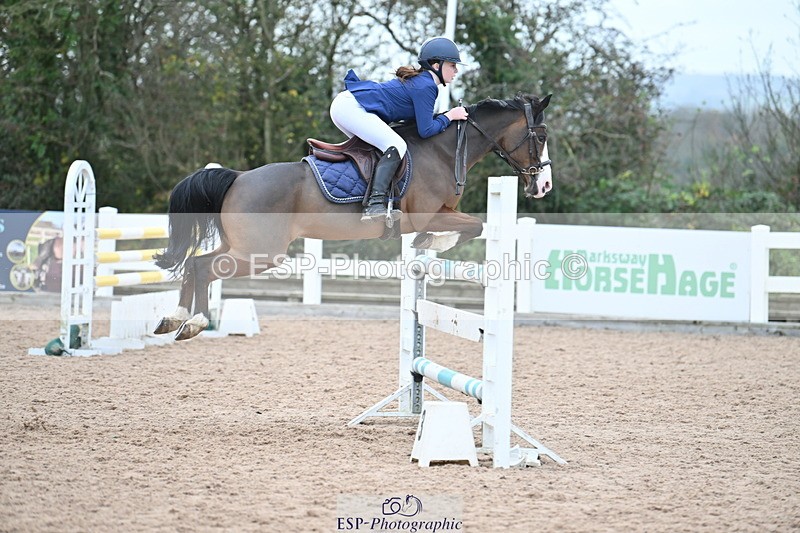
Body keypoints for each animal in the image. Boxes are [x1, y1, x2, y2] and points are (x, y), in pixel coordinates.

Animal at [153, 92, 553, 340]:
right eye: (541, 135)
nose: (544, 185)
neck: (443, 150)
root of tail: (238, 177)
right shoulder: (429, 215)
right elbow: (474, 225)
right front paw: (433, 242)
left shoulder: (442, 212)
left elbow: (473, 225)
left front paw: (429, 244)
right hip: (261, 253)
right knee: (204, 267)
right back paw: (195, 321)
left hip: (242, 247)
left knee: (194, 263)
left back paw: (174, 317)